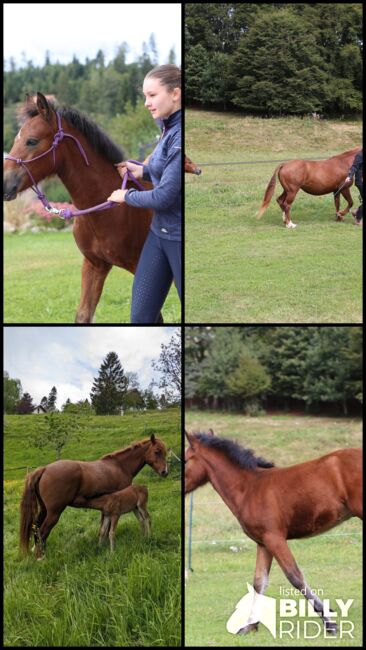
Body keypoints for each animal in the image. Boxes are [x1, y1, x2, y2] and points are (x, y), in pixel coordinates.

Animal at [20, 432, 167, 556]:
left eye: (165, 452)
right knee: (43, 530)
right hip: (54, 513)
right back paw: (40, 556)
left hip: (44, 510)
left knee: (36, 527)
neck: (119, 466)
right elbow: (108, 528)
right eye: (157, 451)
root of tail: (44, 469)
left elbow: (104, 527)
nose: (165, 472)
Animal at [184, 430, 362, 632]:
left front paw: (329, 621)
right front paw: (250, 625)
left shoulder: (274, 538)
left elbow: (295, 576)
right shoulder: (263, 543)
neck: (249, 488)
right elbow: (259, 582)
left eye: (185, 460)